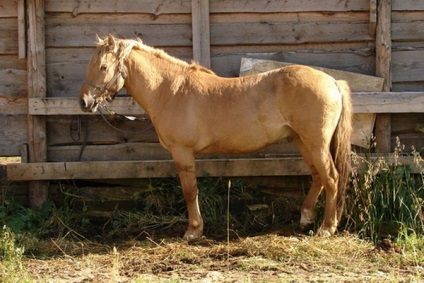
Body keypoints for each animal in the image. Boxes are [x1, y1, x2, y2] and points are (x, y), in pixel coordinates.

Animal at [78, 34, 352, 241]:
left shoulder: (183, 153)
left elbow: (190, 191)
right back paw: (306, 219)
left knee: (331, 178)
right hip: (303, 142)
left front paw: (193, 231)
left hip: (316, 144)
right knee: (318, 177)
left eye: (103, 67)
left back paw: (327, 228)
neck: (170, 89)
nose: (84, 102)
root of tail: (332, 81)